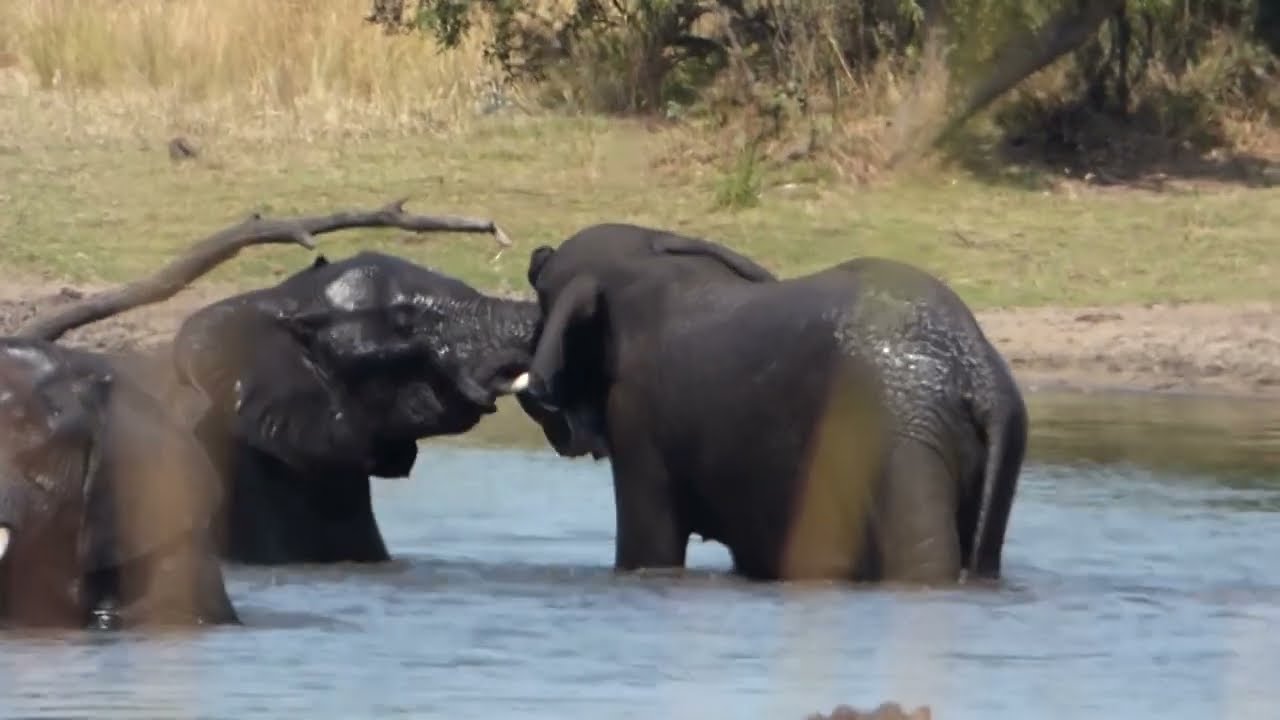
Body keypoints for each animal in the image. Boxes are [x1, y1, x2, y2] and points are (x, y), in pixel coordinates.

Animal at [513, 223, 1028, 585]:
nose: (536, 254)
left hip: (897, 437)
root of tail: (976, 369)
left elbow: (649, 551)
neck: (647, 257)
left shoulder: (638, 418)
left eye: (541, 295)